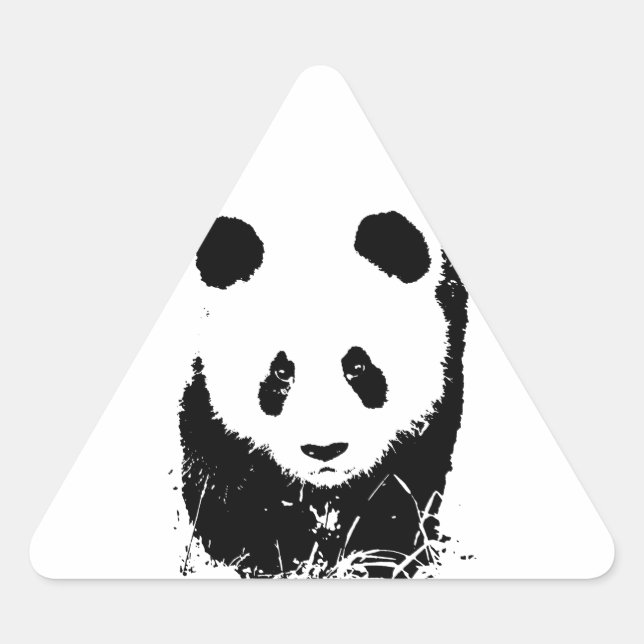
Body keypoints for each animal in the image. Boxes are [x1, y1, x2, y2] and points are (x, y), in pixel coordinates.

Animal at [178, 210, 468, 578]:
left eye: (358, 366)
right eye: (281, 371)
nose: (324, 450)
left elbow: (407, 469)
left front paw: (380, 557)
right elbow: (220, 458)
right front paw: (270, 554)